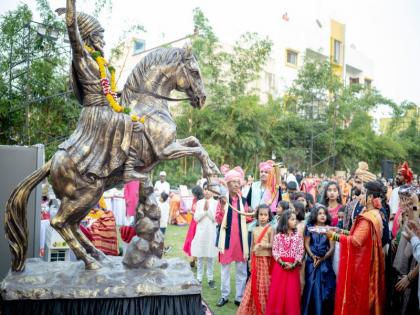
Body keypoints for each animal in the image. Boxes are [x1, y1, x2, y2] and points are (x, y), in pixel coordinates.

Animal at [5, 45, 220, 272]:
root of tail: (51, 163)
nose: (202, 99)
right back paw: (90, 262)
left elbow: (195, 141)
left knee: (73, 225)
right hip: (84, 195)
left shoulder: (172, 145)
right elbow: (198, 150)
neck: (150, 104)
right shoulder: (165, 150)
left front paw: (214, 173)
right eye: (195, 71)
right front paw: (213, 181)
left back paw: (99, 256)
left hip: (89, 196)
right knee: (59, 223)